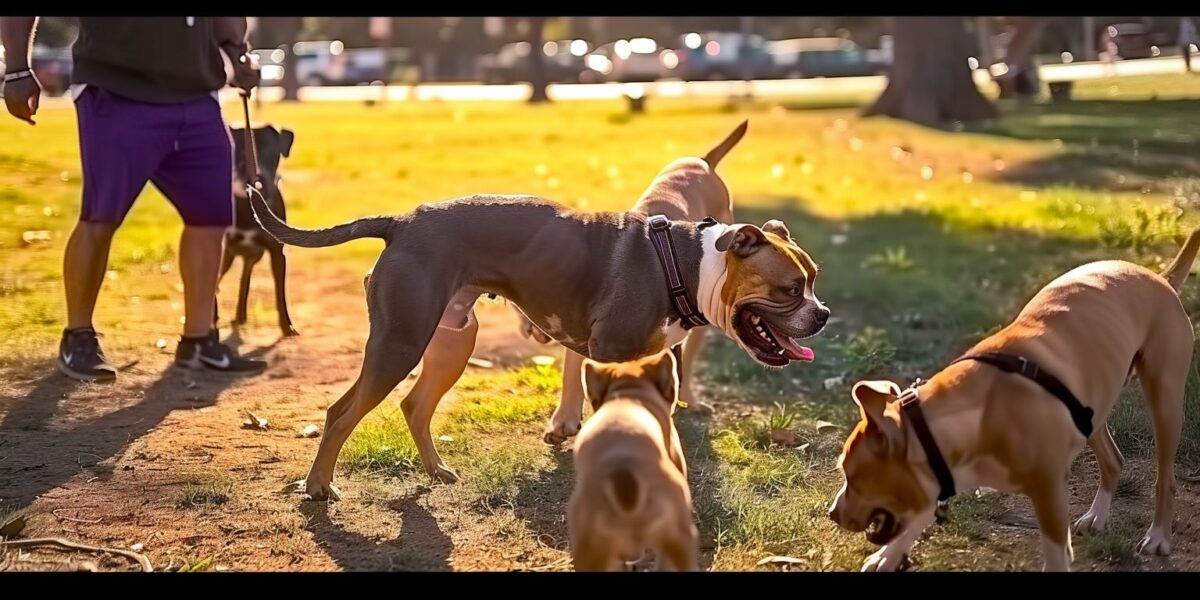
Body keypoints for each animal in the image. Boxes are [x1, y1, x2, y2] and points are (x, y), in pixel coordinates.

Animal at [223, 124, 302, 338]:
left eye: (271, 152)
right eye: (239, 152)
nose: (258, 179)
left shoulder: (277, 252)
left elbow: (280, 293)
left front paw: (287, 327)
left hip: (252, 256)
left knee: (245, 277)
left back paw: (240, 316)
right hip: (230, 254)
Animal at [253, 123, 830, 501]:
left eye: (814, 278)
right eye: (789, 288)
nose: (822, 314)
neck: (687, 263)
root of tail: (402, 221)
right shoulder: (609, 357)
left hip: (450, 342)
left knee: (415, 406)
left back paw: (436, 472)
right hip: (401, 343)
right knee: (341, 412)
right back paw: (318, 486)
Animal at [825, 225, 1200, 571]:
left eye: (852, 475)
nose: (832, 513)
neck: (977, 414)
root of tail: (1160, 278)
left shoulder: (1049, 494)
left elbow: (1055, 555)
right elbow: (918, 514)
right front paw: (889, 556)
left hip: (1165, 401)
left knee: (1165, 479)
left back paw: (1158, 536)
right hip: (1093, 412)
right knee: (1114, 461)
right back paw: (1097, 516)